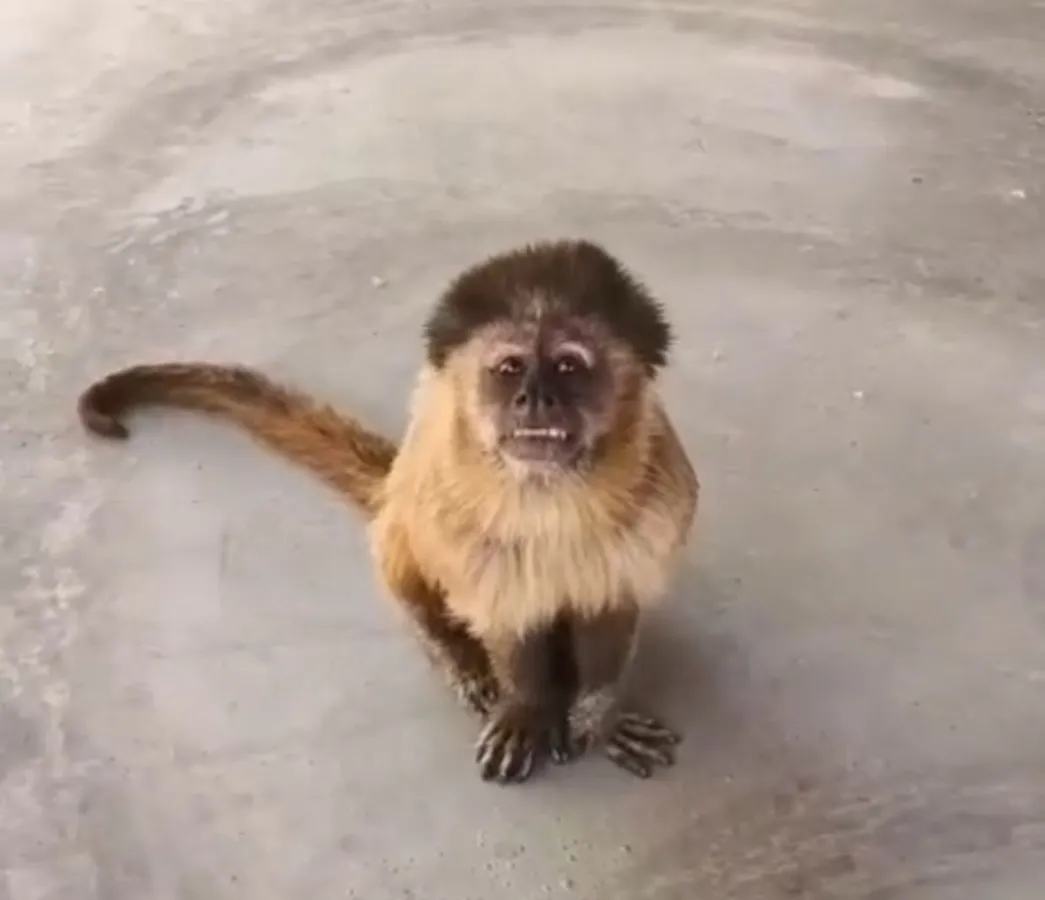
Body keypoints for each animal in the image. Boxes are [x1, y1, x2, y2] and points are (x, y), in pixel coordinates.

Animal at [77, 238, 700, 784]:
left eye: (569, 367)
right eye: (510, 369)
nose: (535, 398)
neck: (549, 492)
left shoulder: (660, 497)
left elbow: (610, 606)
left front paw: (598, 716)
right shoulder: (452, 495)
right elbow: (501, 612)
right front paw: (526, 708)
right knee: (404, 539)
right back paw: (458, 656)